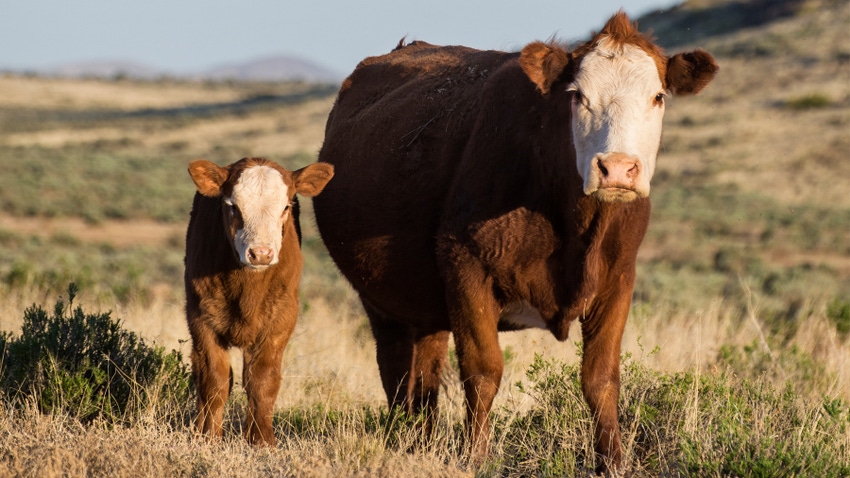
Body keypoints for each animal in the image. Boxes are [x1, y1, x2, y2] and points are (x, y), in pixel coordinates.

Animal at [184, 157, 332, 444]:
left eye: (286, 206)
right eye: (232, 206)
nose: (261, 253)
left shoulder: (281, 319)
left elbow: (262, 381)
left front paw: (261, 440)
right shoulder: (201, 317)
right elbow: (214, 379)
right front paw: (208, 437)